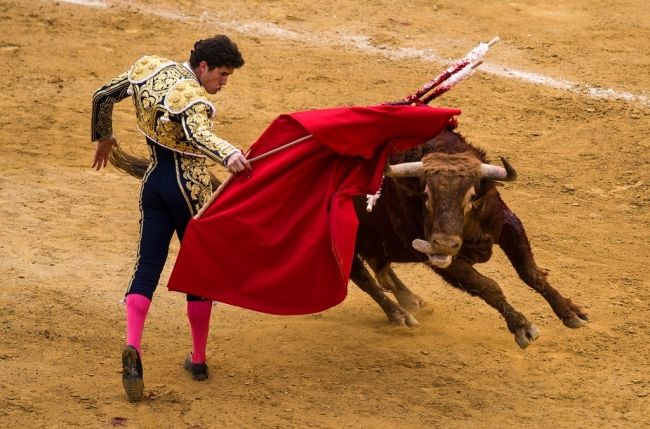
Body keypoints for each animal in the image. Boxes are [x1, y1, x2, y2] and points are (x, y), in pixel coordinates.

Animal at [350, 123, 588, 348]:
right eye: (426, 195)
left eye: (472, 196)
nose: (445, 245)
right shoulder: (441, 260)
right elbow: (487, 285)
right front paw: (523, 327)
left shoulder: (507, 224)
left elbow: (530, 272)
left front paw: (571, 312)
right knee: (363, 278)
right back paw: (400, 315)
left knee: (380, 271)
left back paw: (413, 301)